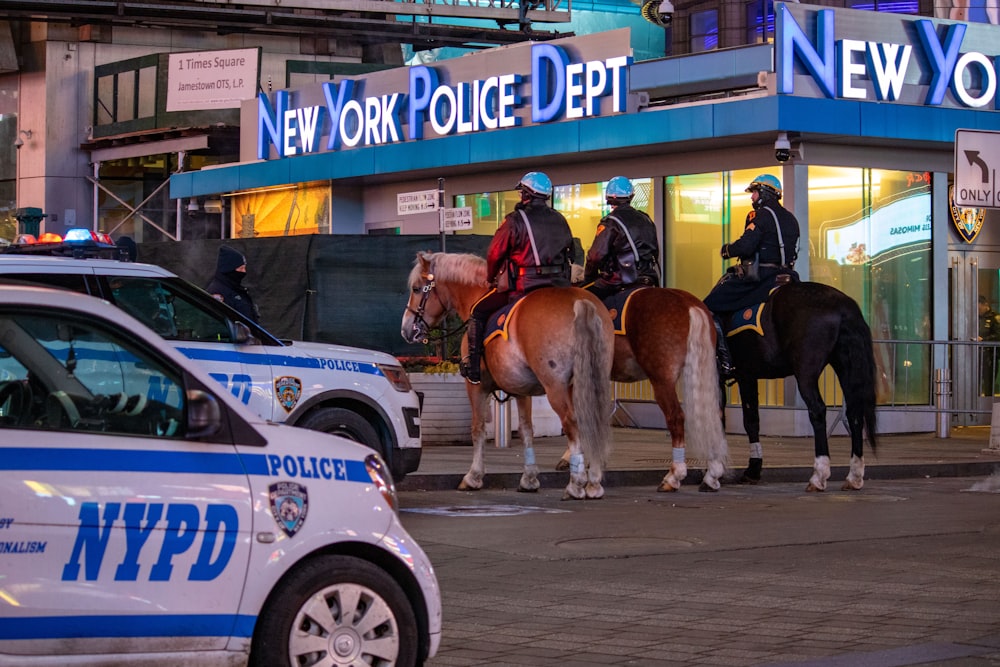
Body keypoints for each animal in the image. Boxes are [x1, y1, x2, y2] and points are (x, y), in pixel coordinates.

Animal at [400, 252, 616, 500]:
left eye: (416, 289)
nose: (406, 329)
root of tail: (580, 302)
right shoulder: (522, 389)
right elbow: (526, 429)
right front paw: (529, 478)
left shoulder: (475, 386)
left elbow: (478, 428)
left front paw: (473, 476)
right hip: (589, 381)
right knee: (594, 420)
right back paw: (594, 483)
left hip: (556, 386)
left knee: (573, 423)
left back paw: (576, 484)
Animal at [556, 286, 728, 490]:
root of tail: (688, 303)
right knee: (713, 417)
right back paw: (712, 475)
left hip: (662, 380)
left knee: (676, 417)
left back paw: (673, 477)